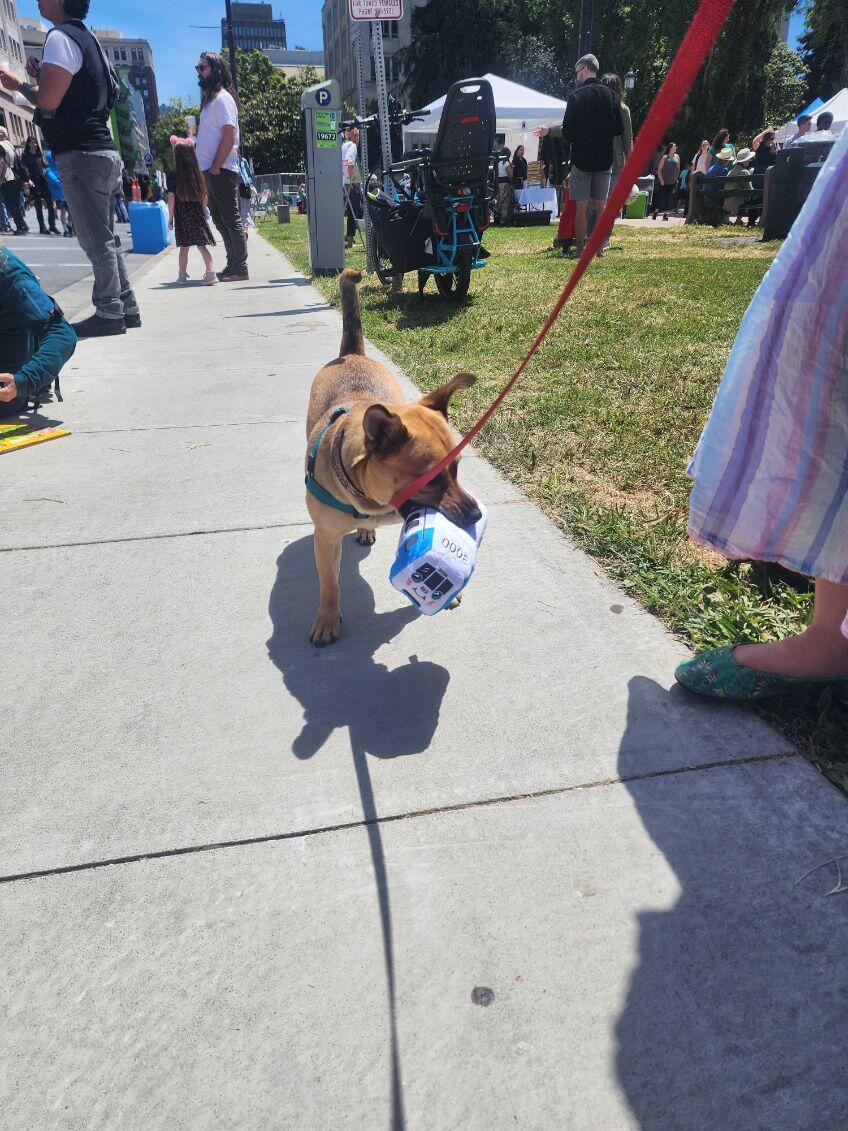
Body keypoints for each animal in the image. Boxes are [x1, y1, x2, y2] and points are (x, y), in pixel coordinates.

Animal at [305, 266, 481, 646]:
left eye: (458, 469)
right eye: (432, 479)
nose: (475, 514)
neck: (369, 500)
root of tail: (352, 354)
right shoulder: (325, 539)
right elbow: (329, 585)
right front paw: (327, 618)